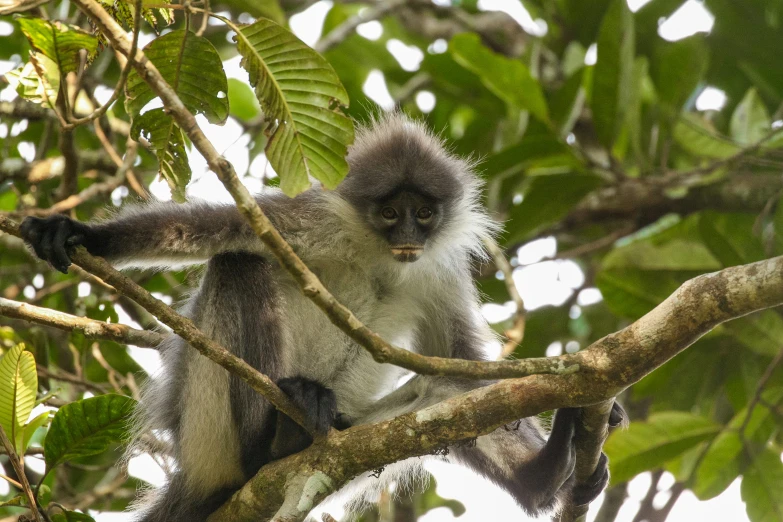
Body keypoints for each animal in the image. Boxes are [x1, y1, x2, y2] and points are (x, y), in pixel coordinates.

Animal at [21, 115, 628, 520]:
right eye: (390, 213)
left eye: (424, 214)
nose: (409, 236)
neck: (380, 257)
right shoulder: (313, 218)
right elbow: (212, 229)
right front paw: (80, 234)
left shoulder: (439, 270)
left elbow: (461, 363)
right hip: (206, 427)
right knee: (237, 265)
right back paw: (269, 444)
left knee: (440, 395)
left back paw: (542, 478)